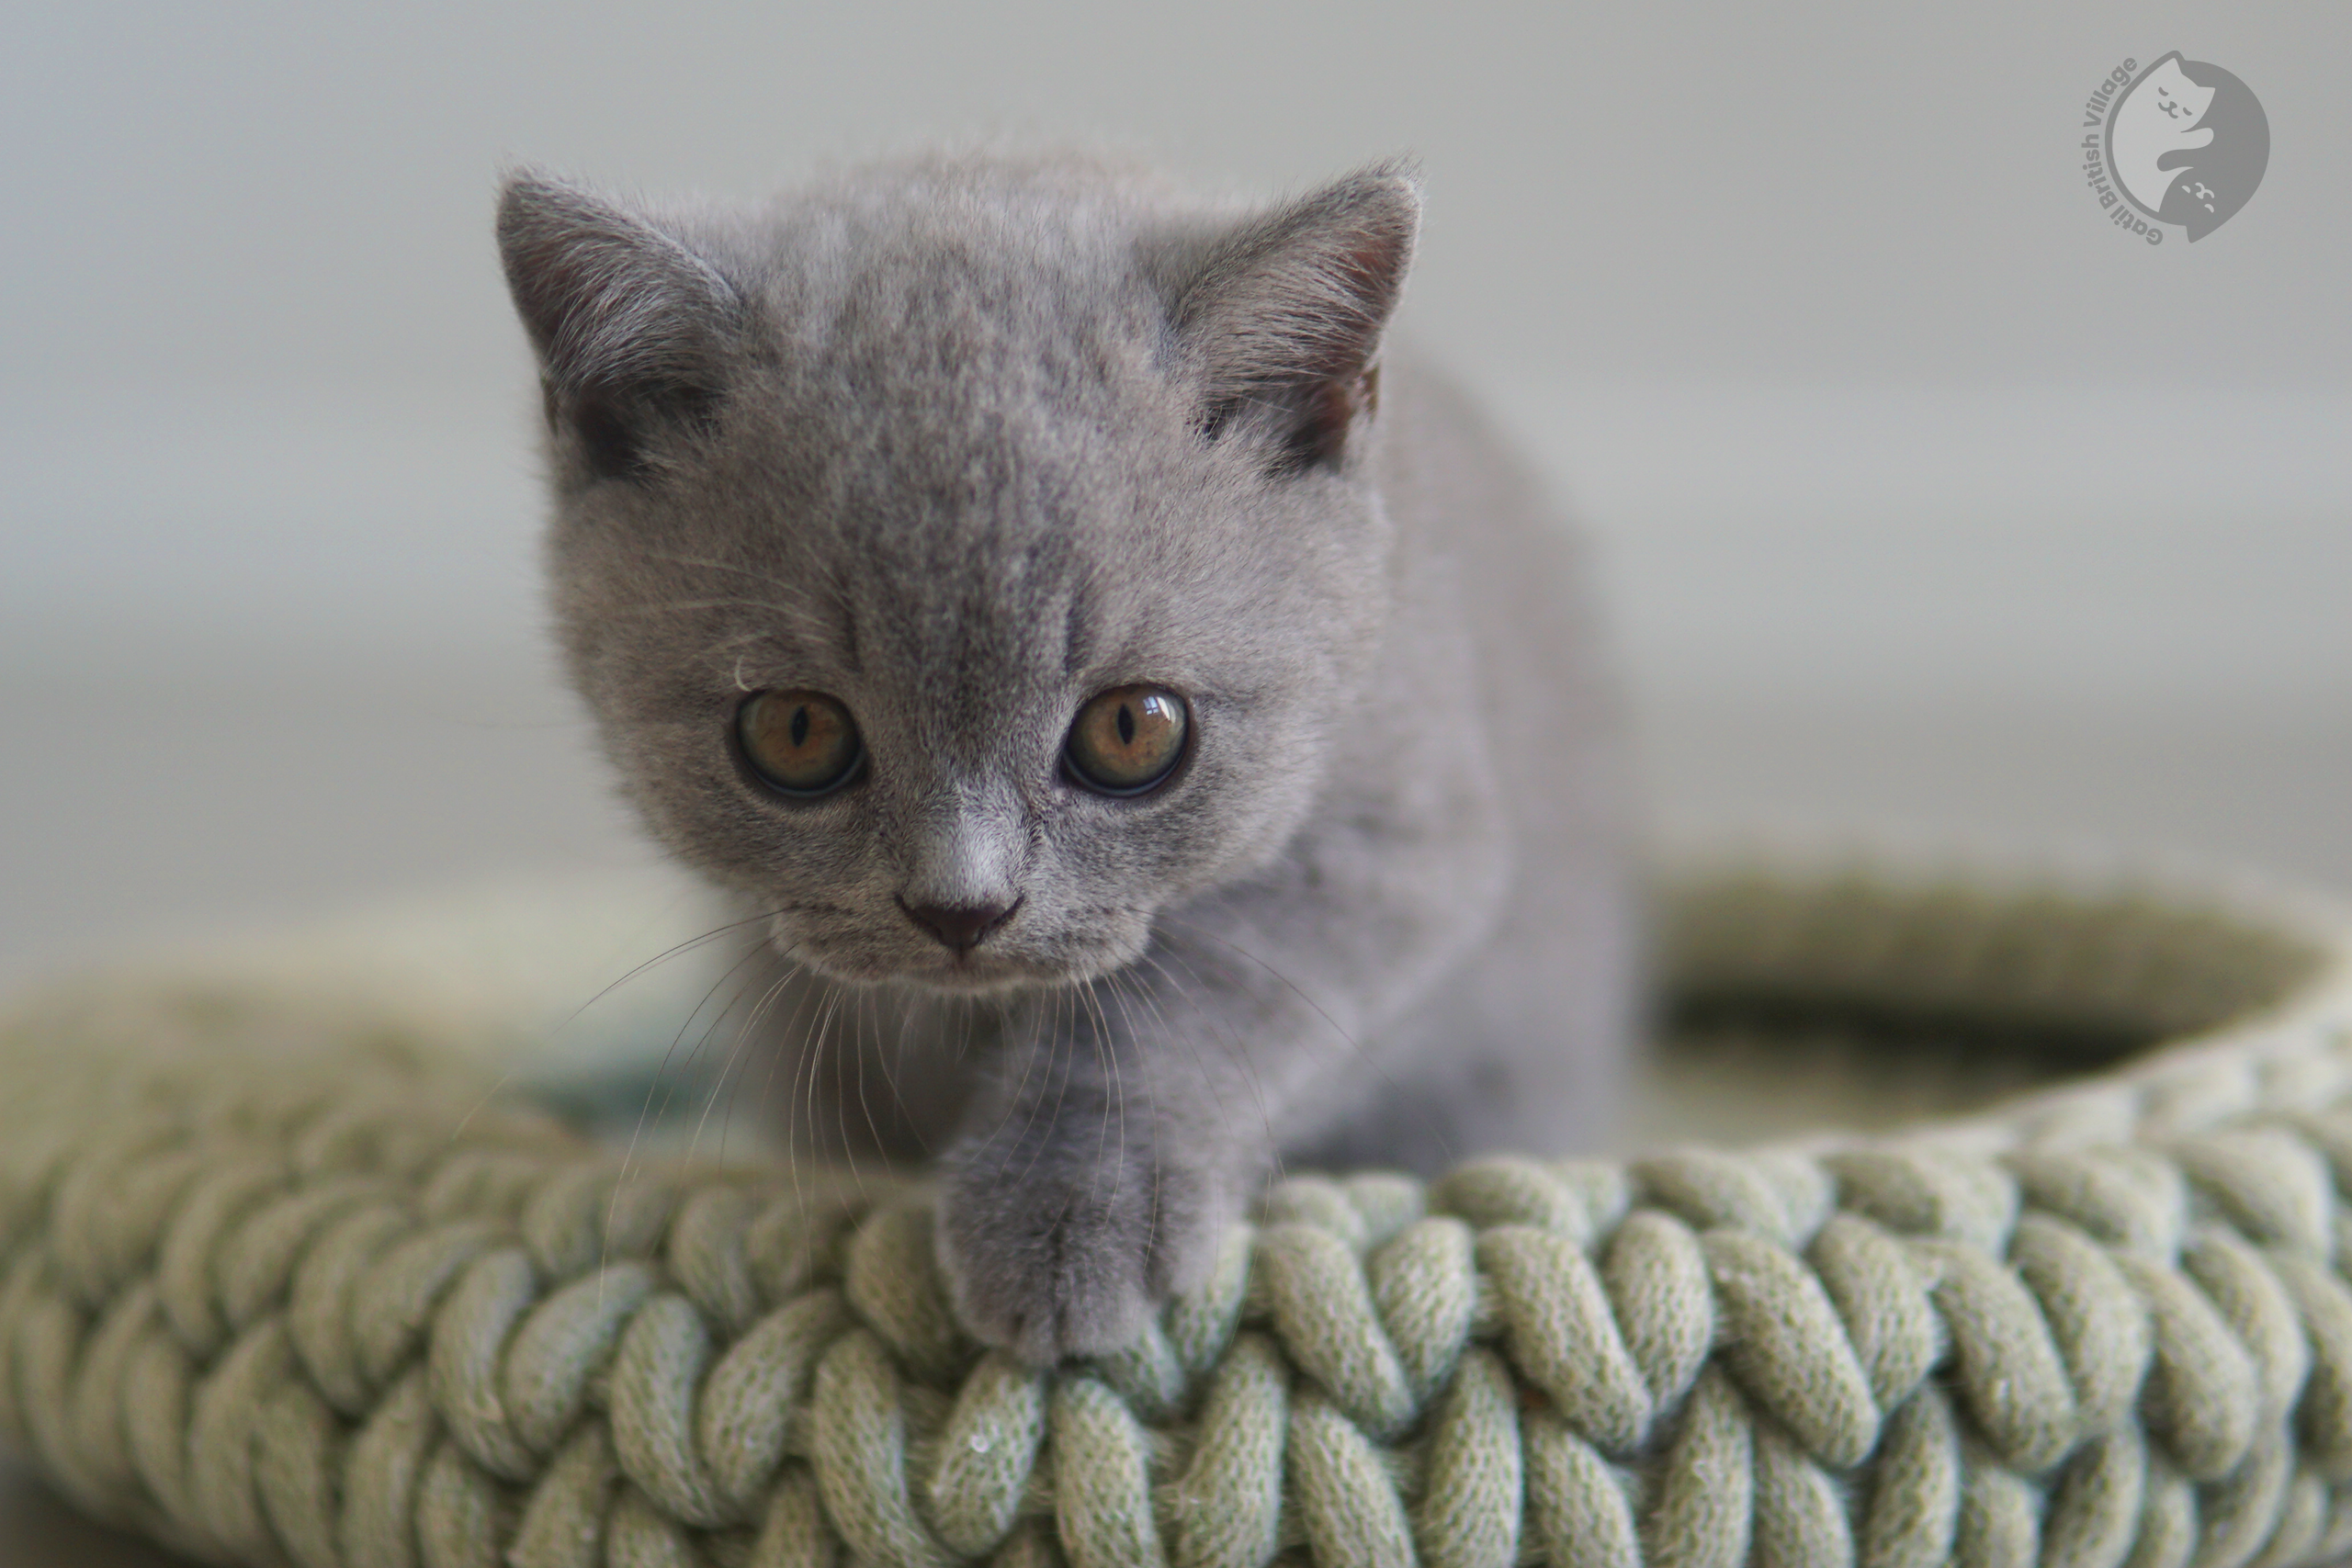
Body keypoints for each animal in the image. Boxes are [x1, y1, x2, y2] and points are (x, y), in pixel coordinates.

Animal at [496, 152, 1636, 1363]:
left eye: (1132, 730)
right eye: (795, 733)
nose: (959, 908)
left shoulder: (1399, 851)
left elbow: (1188, 999)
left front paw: (1065, 1217)